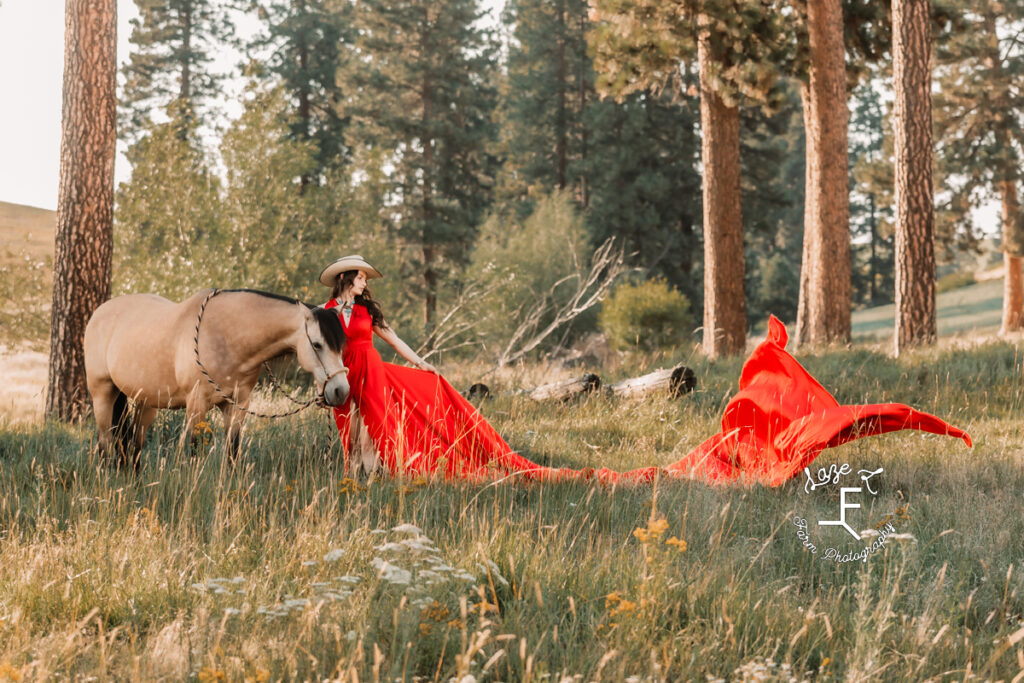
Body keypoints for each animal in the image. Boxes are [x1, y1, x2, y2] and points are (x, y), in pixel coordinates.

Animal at [84, 286, 348, 466]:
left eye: (341, 345)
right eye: (317, 344)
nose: (340, 391)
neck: (226, 337)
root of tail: (99, 313)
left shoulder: (238, 406)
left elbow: (232, 453)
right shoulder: (196, 406)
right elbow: (194, 451)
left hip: (145, 402)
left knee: (134, 447)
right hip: (103, 394)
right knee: (105, 444)